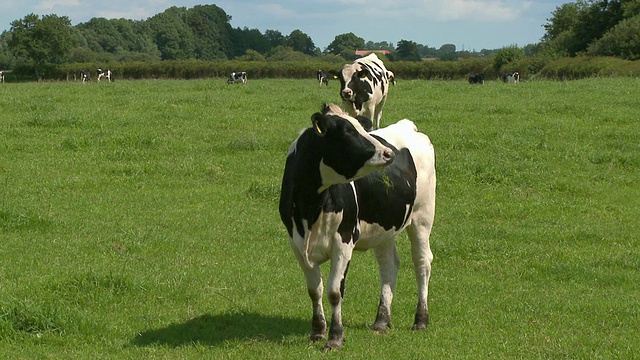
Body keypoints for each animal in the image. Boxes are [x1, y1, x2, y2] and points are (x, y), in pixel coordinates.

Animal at [278, 102, 438, 350]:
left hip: (423, 217)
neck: (311, 207)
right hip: (384, 226)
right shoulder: (296, 244)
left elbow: (335, 291)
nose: (388, 153)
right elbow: (314, 290)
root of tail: (407, 126)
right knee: (388, 265)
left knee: (422, 263)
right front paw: (318, 332)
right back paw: (381, 321)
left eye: (361, 127)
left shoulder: (343, 241)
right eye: (347, 131)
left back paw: (420, 320)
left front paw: (335, 337)